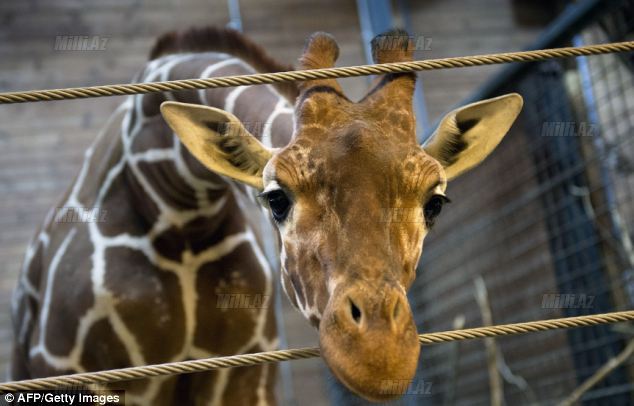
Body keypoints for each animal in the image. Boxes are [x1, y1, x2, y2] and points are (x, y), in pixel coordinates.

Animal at [11, 26, 524, 402]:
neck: (178, 209)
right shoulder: (80, 372)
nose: (379, 356)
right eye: (276, 198)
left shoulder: (243, 373)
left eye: (434, 202)